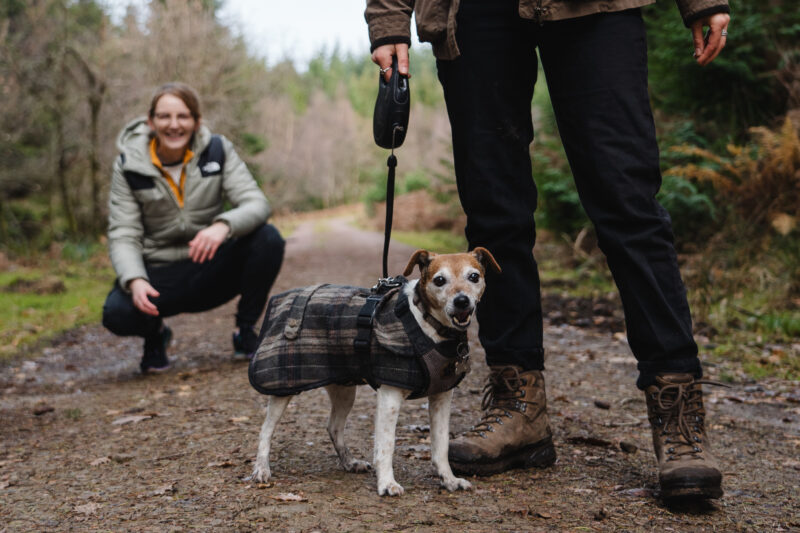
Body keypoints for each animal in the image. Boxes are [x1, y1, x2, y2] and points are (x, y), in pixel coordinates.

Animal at [250, 247, 500, 496]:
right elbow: (386, 445)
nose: (462, 301)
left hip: (344, 390)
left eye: (474, 277)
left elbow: (441, 445)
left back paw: (350, 462)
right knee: (265, 430)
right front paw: (387, 483)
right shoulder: (390, 397)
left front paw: (449, 480)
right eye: (439, 280)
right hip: (283, 388)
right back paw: (261, 469)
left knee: (334, 427)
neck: (429, 324)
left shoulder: (442, 397)